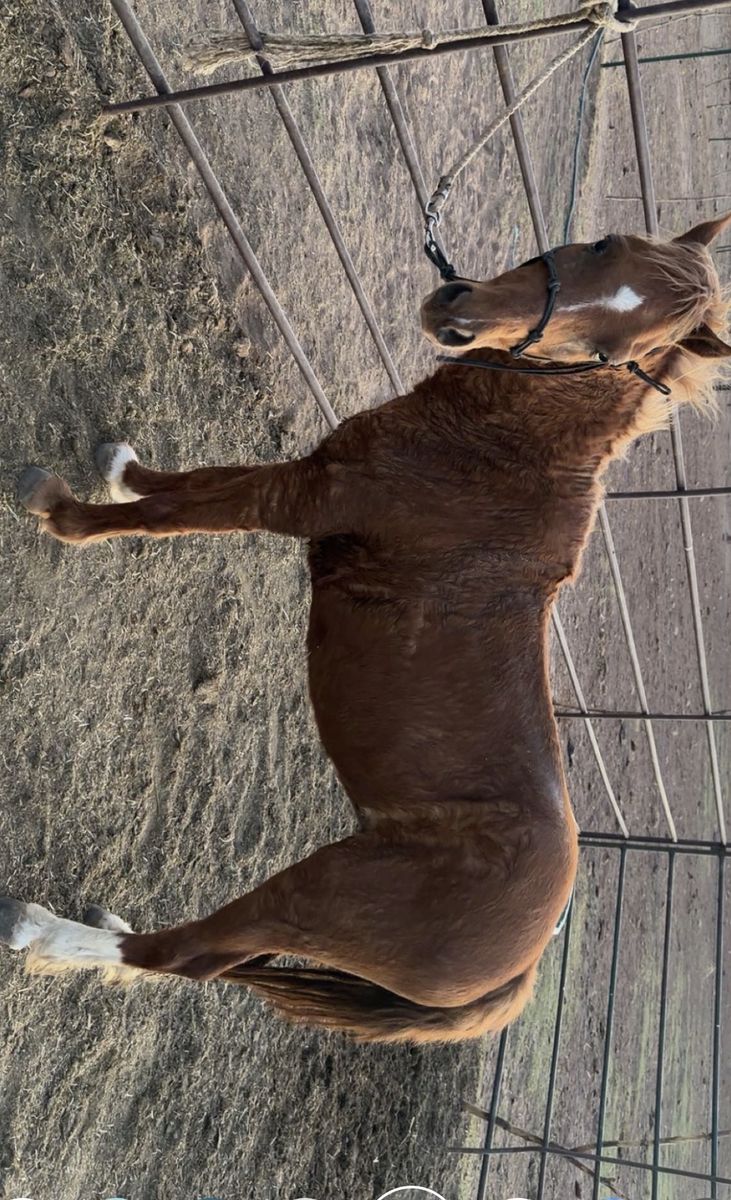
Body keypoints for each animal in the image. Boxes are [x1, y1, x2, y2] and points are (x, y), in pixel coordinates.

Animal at [2, 213, 729, 1044]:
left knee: (185, 955)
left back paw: (40, 930)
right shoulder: (312, 474)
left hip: (315, 895)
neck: (504, 454)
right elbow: (191, 483)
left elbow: (175, 513)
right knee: (208, 958)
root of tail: (518, 968)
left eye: (610, 351)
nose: (456, 312)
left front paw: (59, 511)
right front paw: (119, 465)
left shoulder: (299, 498)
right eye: (605, 244)